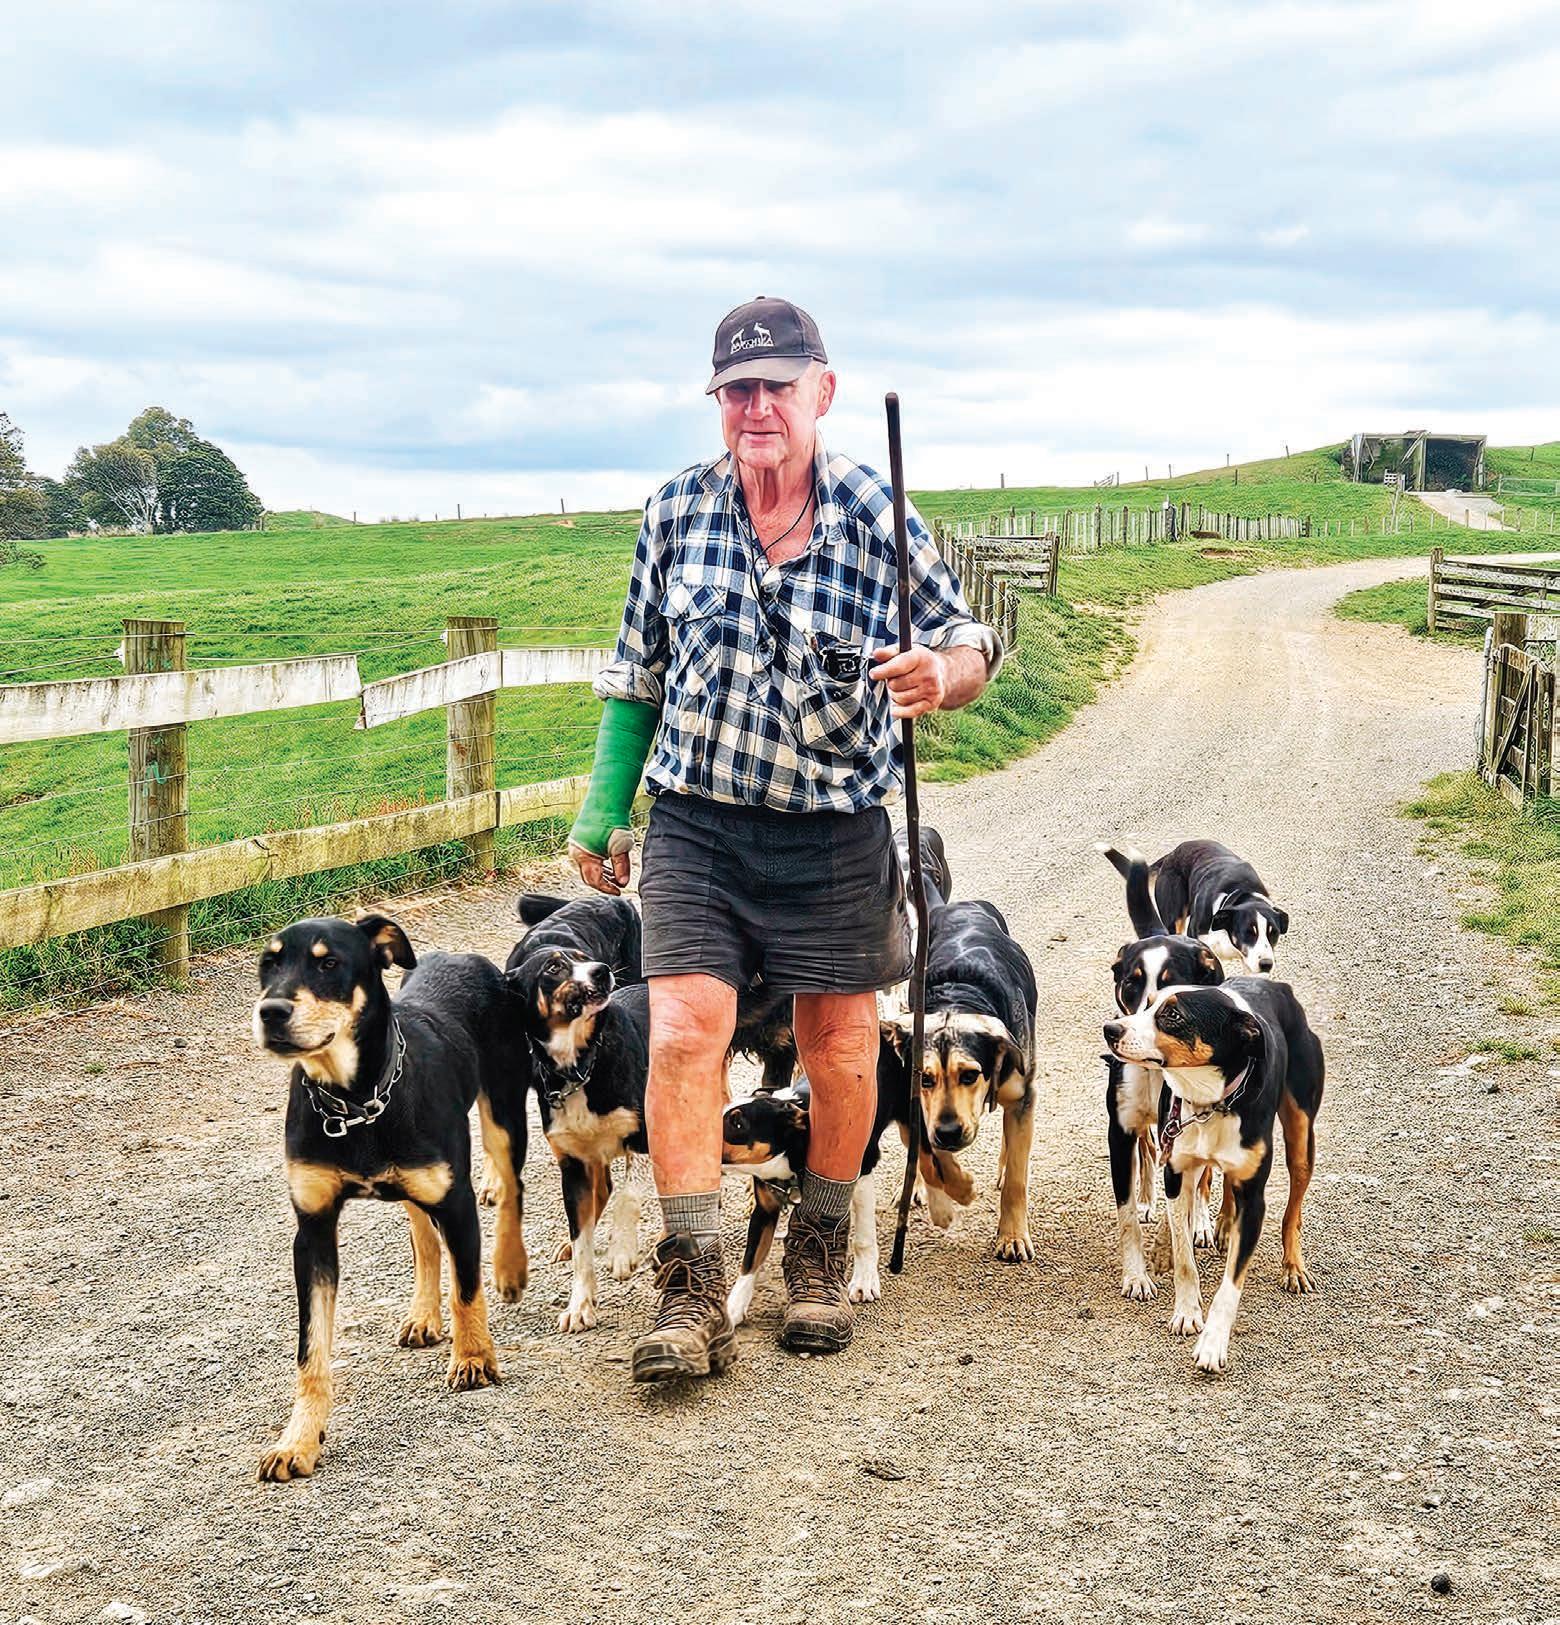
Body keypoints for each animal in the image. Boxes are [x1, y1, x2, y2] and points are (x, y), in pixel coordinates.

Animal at [251, 916, 518, 1481]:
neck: (354, 1101)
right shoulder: (312, 1232)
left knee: (510, 1193)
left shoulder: (457, 1204)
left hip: (504, 1113)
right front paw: (299, 1439)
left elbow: (467, 1289)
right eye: (269, 963)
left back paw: (510, 1267)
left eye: (329, 963)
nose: (271, 1012)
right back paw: (423, 1315)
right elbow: (312, 1348)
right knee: (423, 1237)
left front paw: (473, 1358)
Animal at [503, 944, 650, 1334]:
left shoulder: (641, 1137)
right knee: (602, 1193)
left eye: (583, 956)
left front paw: (622, 1251)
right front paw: (581, 1303)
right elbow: (582, 1243)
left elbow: (629, 1197)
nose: (602, 970)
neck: (579, 1069)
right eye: (554, 967)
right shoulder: (573, 1167)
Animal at [876, 897, 1038, 1270]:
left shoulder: (1023, 1097)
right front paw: (958, 1187)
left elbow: (1017, 1178)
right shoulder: (918, 1104)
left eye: (969, 1075)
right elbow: (928, 1155)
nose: (949, 1133)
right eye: (925, 1077)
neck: (958, 999)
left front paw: (1011, 1237)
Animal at [1098, 843, 1225, 1297]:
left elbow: (1184, 1201)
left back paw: (1201, 1222)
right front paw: (1136, 1275)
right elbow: (1127, 1218)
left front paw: (1170, 1248)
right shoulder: (1119, 1131)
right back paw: (1149, 1200)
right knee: (1148, 1151)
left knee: (1202, 1180)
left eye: (1173, 988)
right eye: (1131, 983)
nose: (1124, 1031)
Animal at [1104, 978, 1324, 1373]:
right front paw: (1188, 1314)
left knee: (1292, 1211)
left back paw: (1293, 1266)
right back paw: (1217, 1227)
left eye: (1172, 1015)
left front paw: (1212, 1344)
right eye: (1148, 1003)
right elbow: (1185, 1261)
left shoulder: (1255, 1198)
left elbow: (1230, 1286)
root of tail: (1276, 985)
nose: (1110, 1029)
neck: (1212, 1103)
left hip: (1301, 1137)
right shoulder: (1177, 1175)